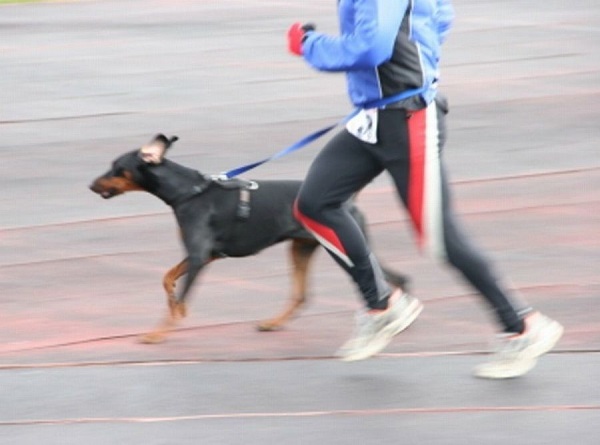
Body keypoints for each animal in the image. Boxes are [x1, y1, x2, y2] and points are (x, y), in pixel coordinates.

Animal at [89, 134, 408, 342]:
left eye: (117, 168)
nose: (91, 185)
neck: (189, 191)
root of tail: (349, 200)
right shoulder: (204, 255)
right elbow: (167, 278)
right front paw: (177, 307)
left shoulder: (199, 254)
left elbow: (179, 292)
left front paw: (159, 332)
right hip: (303, 248)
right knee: (303, 294)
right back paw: (273, 323)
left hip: (346, 248)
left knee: (393, 278)